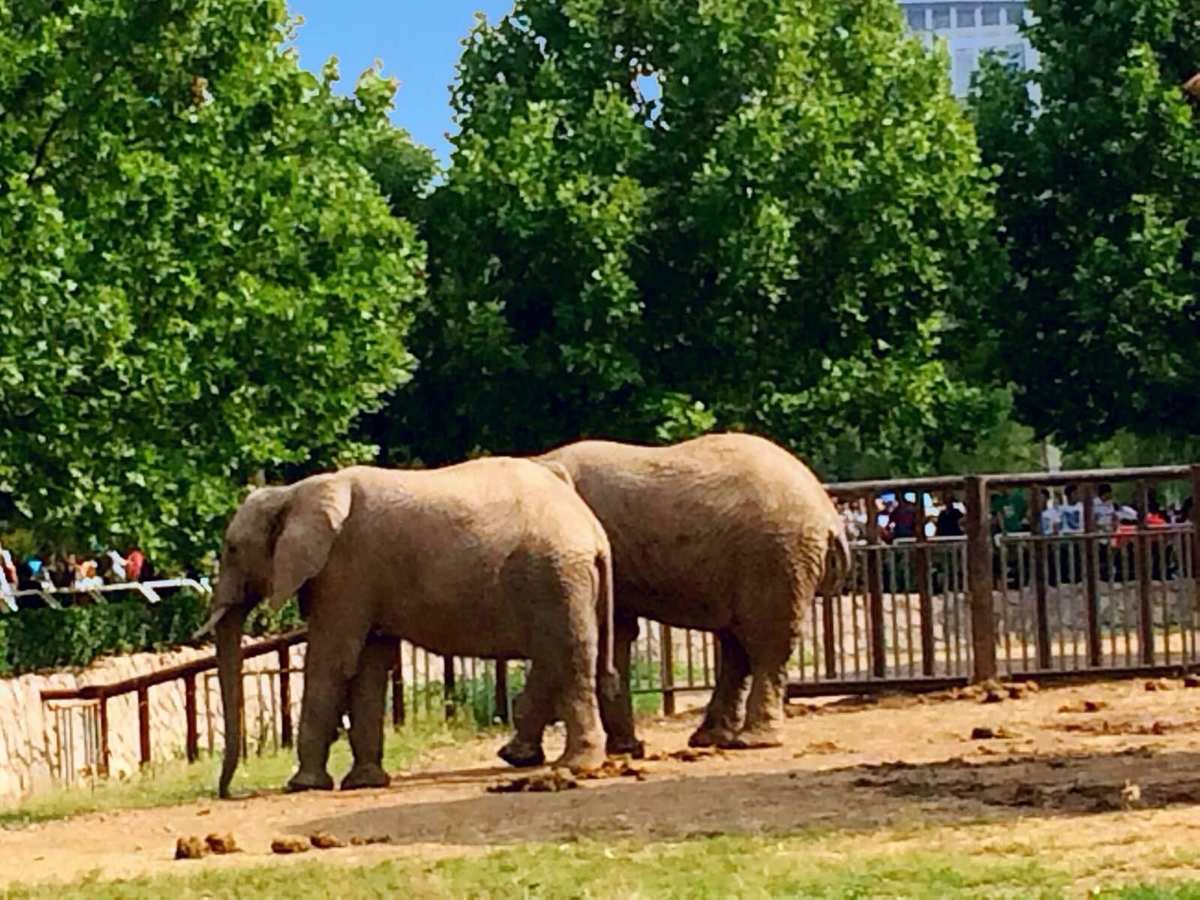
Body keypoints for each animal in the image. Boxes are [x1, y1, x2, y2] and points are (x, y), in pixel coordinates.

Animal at [194, 460, 619, 801]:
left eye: (232, 549)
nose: (227, 792)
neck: (294, 491)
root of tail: (592, 529)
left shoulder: (345, 570)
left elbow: (331, 662)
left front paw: (302, 786)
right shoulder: (359, 579)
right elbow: (369, 664)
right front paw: (364, 783)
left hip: (556, 577)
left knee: (568, 659)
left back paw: (575, 766)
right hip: (564, 583)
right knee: (557, 659)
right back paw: (526, 757)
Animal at [535, 434, 854, 753]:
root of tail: (829, 516)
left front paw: (623, 748)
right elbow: (617, 632)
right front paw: (626, 747)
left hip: (776, 557)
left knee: (764, 644)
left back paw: (752, 741)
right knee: (737, 644)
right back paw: (711, 738)